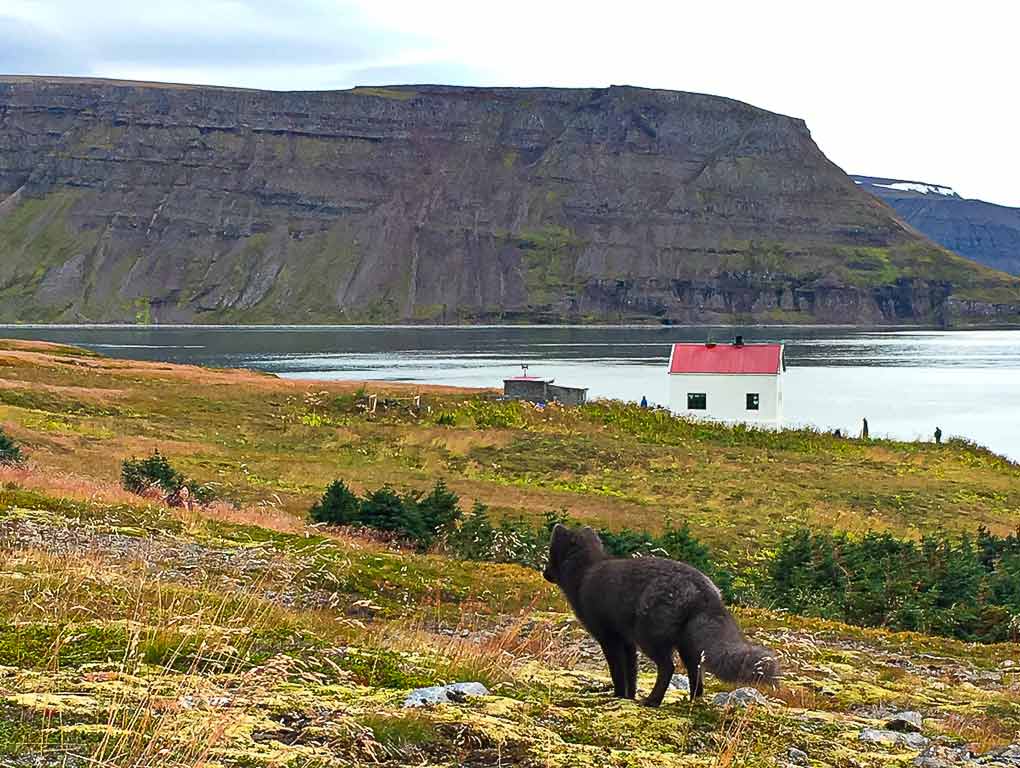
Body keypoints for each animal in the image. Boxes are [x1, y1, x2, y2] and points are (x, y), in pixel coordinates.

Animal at [543, 523, 779, 707]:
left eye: (550, 554)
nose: (544, 574)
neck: (584, 573)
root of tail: (705, 590)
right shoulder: (627, 642)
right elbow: (631, 673)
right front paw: (628, 698)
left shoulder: (609, 638)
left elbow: (618, 672)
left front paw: (617, 697)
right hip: (686, 644)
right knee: (696, 671)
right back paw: (692, 702)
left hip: (650, 637)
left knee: (668, 667)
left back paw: (653, 701)